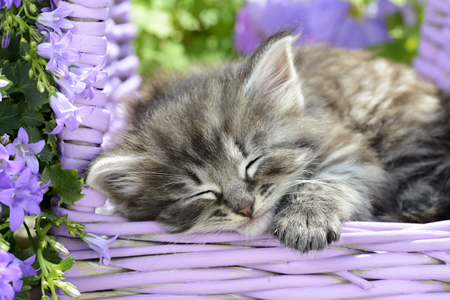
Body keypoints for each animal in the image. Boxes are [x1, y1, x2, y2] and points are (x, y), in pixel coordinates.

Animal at [86, 31, 450, 252]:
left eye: (252, 162)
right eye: (201, 192)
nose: (246, 207)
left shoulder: (349, 151)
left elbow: (329, 181)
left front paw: (306, 219)